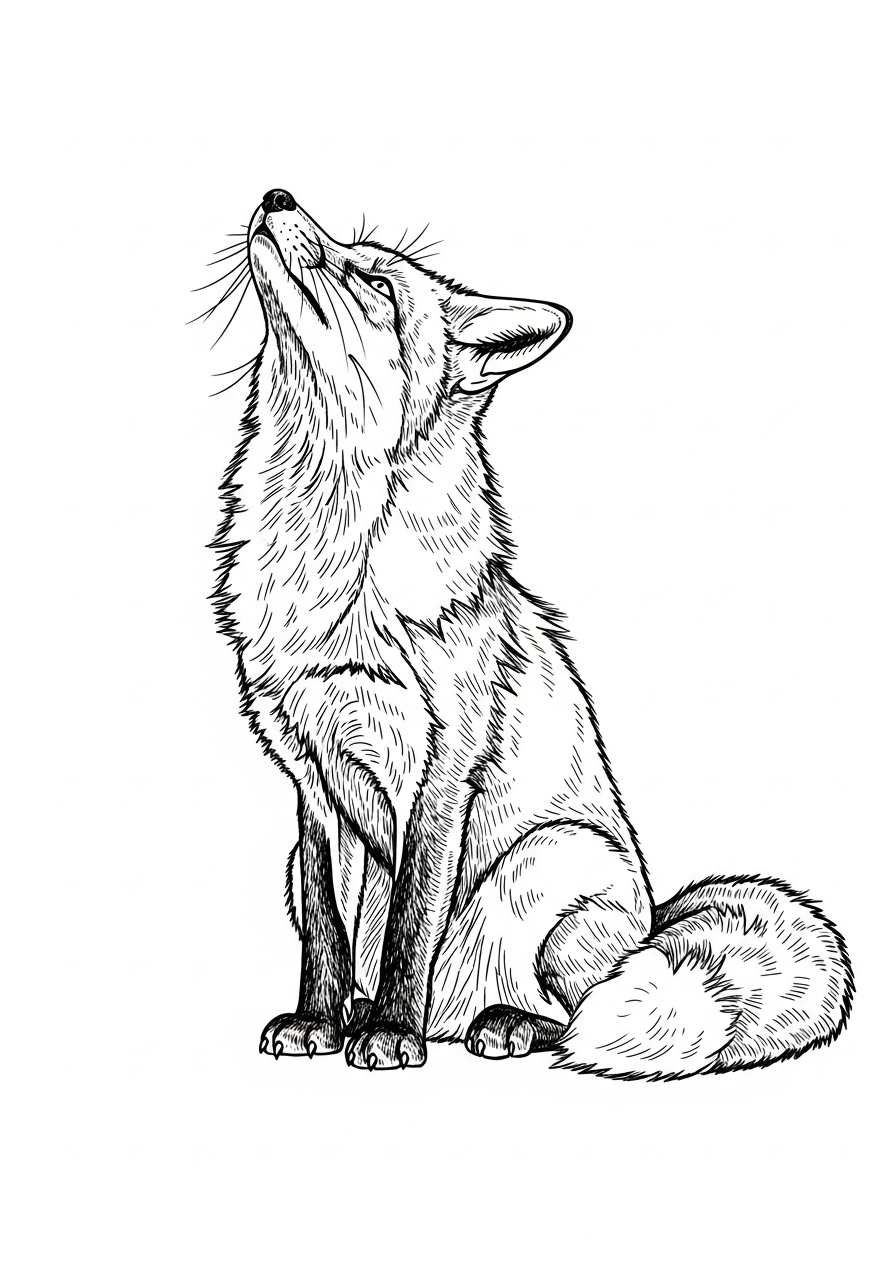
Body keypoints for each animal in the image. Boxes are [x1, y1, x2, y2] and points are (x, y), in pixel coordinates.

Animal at [210, 188, 853, 1078]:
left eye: (374, 281)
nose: (277, 195)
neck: (328, 561)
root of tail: (655, 920)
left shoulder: (442, 767)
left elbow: (413, 923)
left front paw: (391, 1037)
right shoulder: (308, 777)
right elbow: (327, 933)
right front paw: (318, 1020)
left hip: (546, 868)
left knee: (574, 1010)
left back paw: (493, 1024)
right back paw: (370, 1011)